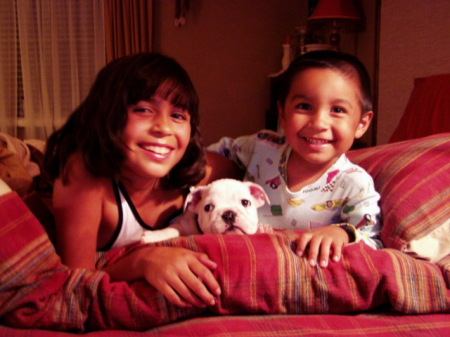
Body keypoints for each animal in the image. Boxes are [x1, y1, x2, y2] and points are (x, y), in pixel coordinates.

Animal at [142, 177, 272, 243]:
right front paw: (153, 236)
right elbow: (172, 230)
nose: (229, 214)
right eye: (208, 207)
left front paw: (262, 228)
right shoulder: (181, 224)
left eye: (245, 202)